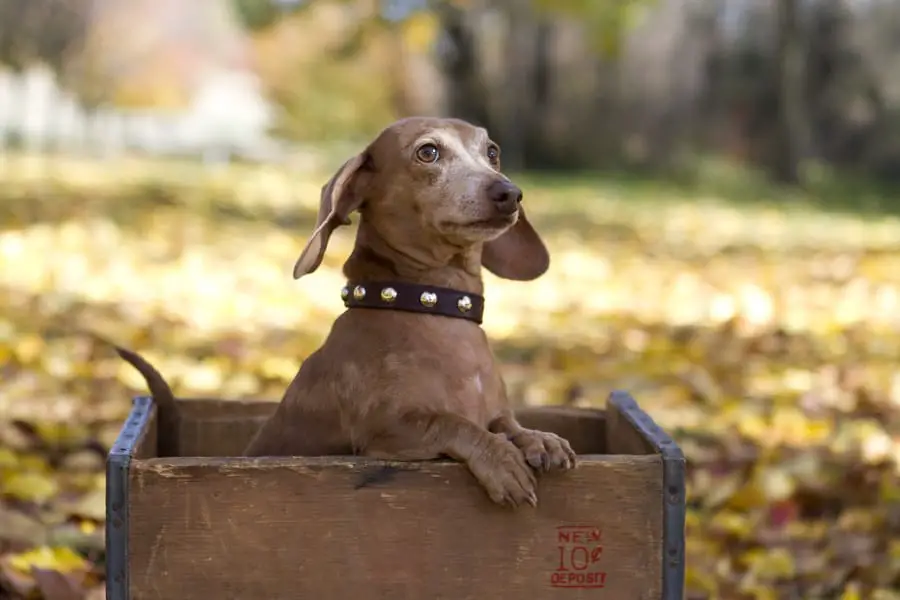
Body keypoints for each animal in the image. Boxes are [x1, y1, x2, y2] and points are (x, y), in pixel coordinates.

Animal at [243, 116, 572, 506]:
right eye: (427, 152)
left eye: (492, 152)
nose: (510, 193)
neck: (435, 308)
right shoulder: (385, 431)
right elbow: (452, 422)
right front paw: (500, 458)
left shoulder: (496, 413)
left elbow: (508, 424)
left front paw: (538, 438)